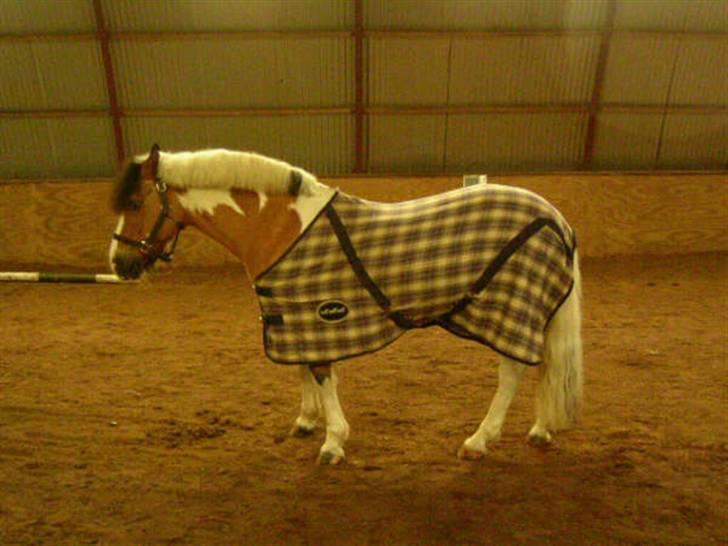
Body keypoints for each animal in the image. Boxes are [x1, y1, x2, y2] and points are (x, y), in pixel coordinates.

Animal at [109, 144, 583, 465]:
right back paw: (540, 430)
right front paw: (306, 422)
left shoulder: (317, 316)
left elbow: (321, 375)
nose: (119, 263)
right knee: (545, 365)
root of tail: (555, 217)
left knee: (513, 371)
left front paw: (333, 441)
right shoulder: (293, 313)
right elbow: (303, 370)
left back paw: (479, 441)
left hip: (511, 310)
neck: (282, 226)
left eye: (134, 202)